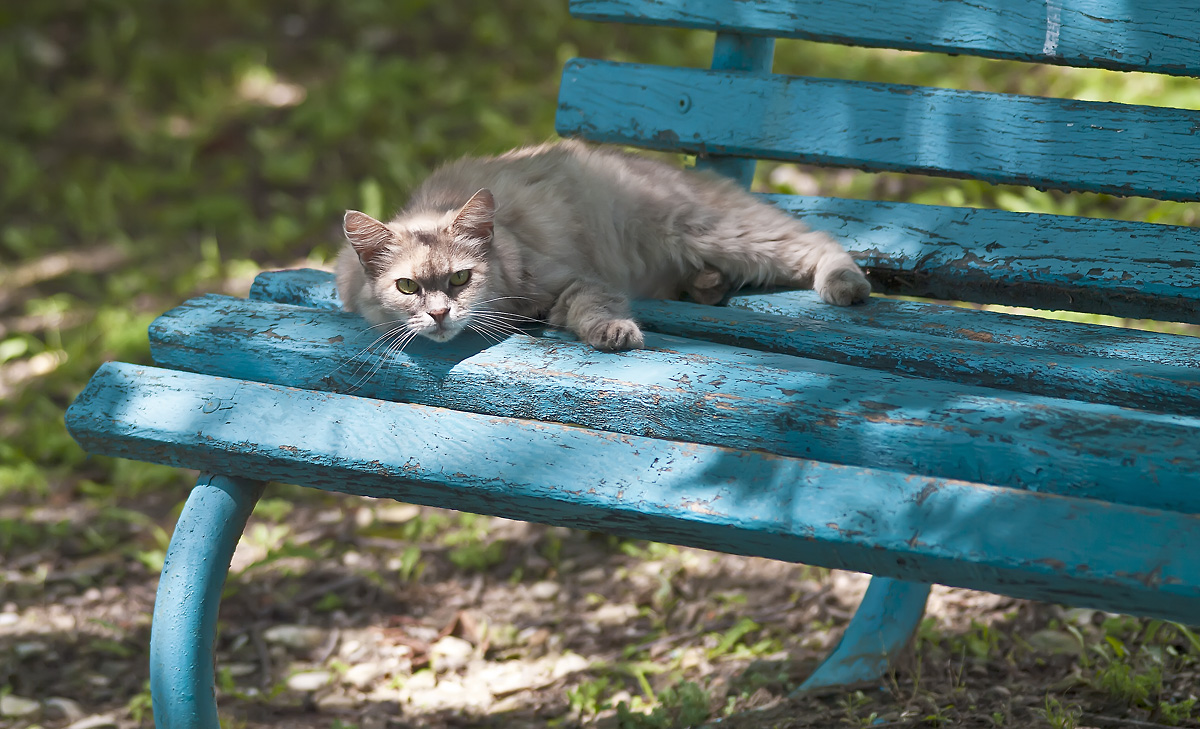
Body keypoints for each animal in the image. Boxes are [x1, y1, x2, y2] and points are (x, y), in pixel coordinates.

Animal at [338, 140, 873, 352]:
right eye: (407, 288)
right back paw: (707, 285)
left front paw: (614, 333)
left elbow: (593, 307)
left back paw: (844, 284)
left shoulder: (575, 279)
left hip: (706, 231)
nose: (439, 315)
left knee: (814, 241)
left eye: (460, 279)